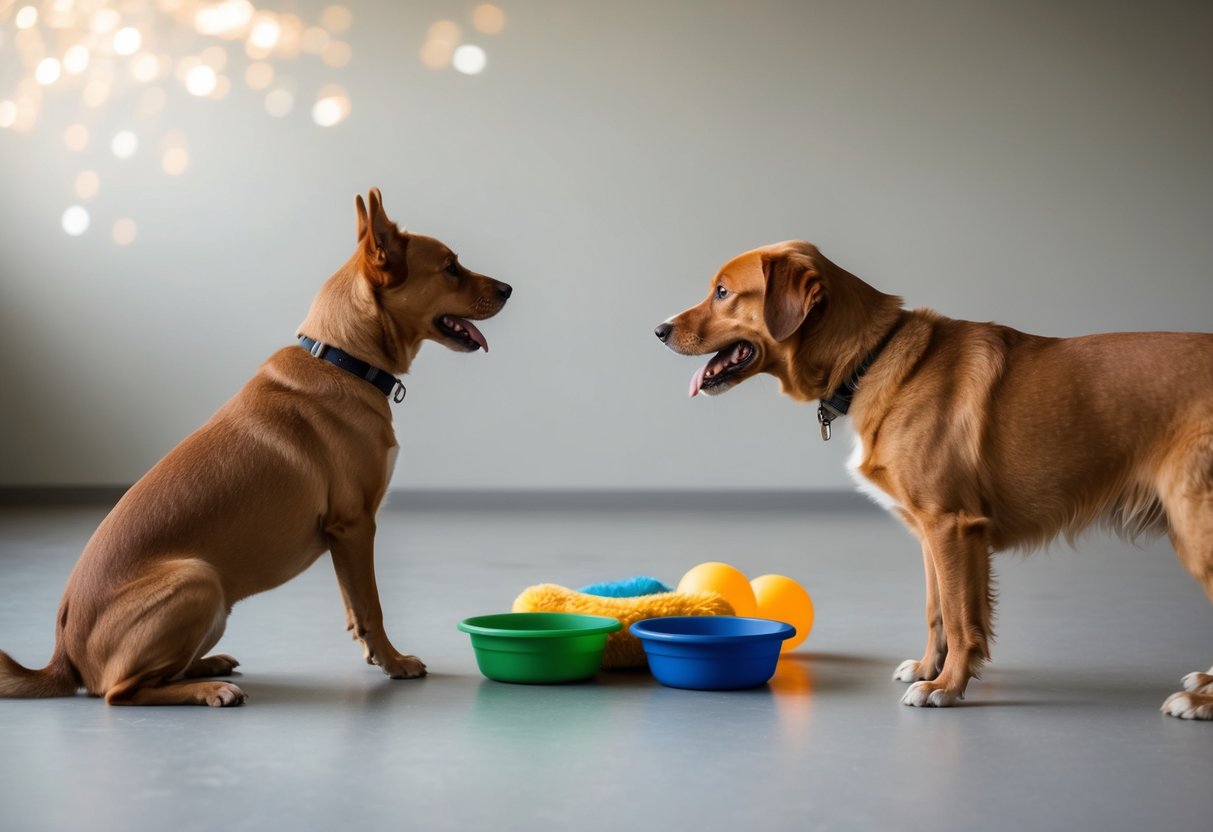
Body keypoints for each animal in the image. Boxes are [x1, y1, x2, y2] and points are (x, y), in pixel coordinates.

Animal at [0, 190, 511, 708]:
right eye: (450, 268)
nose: (508, 289)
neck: (343, 358)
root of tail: (65, 658)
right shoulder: (355, 526)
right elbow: (372, 606)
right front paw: (394, 661)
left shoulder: (344, 538)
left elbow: (353, 606)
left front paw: (374, 655)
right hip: (199, 580)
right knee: (122, 692)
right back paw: (209, 689)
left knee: (153, 677)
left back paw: (205, 666)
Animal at [659, 240, 1213, 717]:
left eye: (723, 292)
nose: (658, 330)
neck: (870, 358)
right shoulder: (935, 532)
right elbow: (938, 610)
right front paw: (930, 669)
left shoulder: (950, 525)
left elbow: (961, 617)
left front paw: (946, 687)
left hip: (1197, 531)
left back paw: (1200, 702)